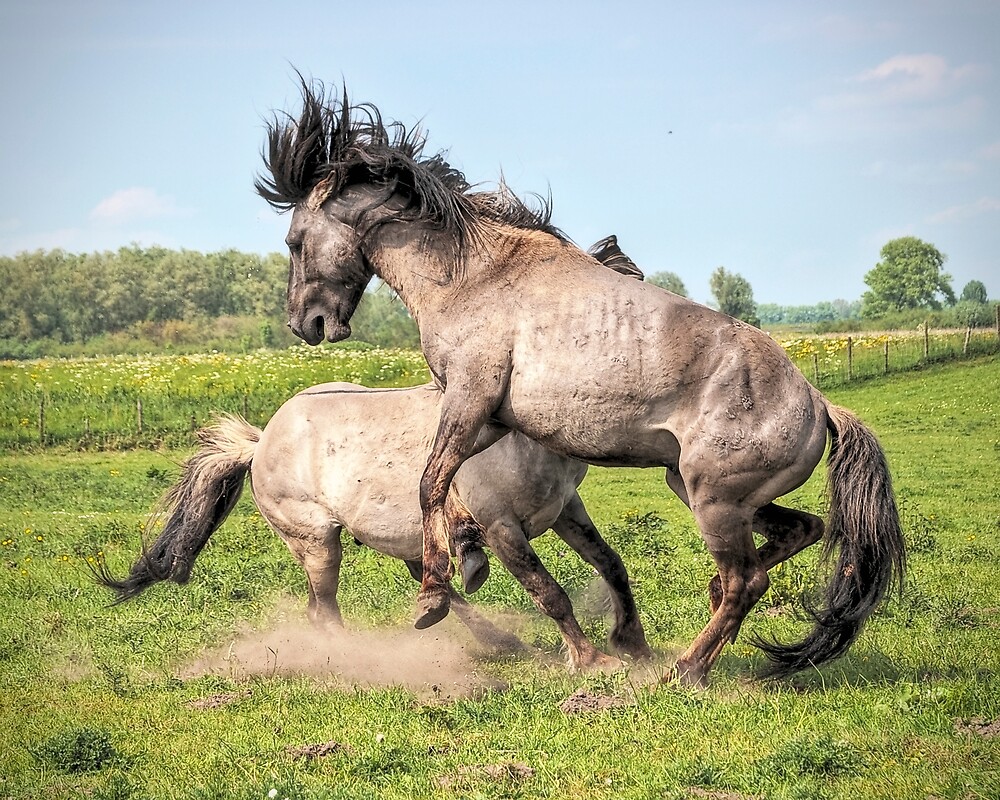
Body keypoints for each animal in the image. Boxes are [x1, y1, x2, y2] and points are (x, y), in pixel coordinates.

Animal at [97, 382, 652, 668]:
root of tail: (259, 444)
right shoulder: (501, 528)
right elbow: (548, 592)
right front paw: (590, 659)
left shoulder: (566, 511)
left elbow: (612, 564)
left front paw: (632, 641)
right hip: (318, 543)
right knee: (325, 610)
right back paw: (355, 660)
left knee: (432, 587)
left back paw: (499, 640)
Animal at [252, 78, 908, 684]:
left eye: (294, 241)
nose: (305, 323)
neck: (472, 275)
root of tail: (819, 405)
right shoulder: (493, 421)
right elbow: (453, 492)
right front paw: (466, 565)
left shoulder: (468, 399)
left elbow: (430, 483)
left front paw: (434, 597)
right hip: (698, 488)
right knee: (795, 535)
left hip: (714, 500)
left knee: (746, 581)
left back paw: (684, 670)